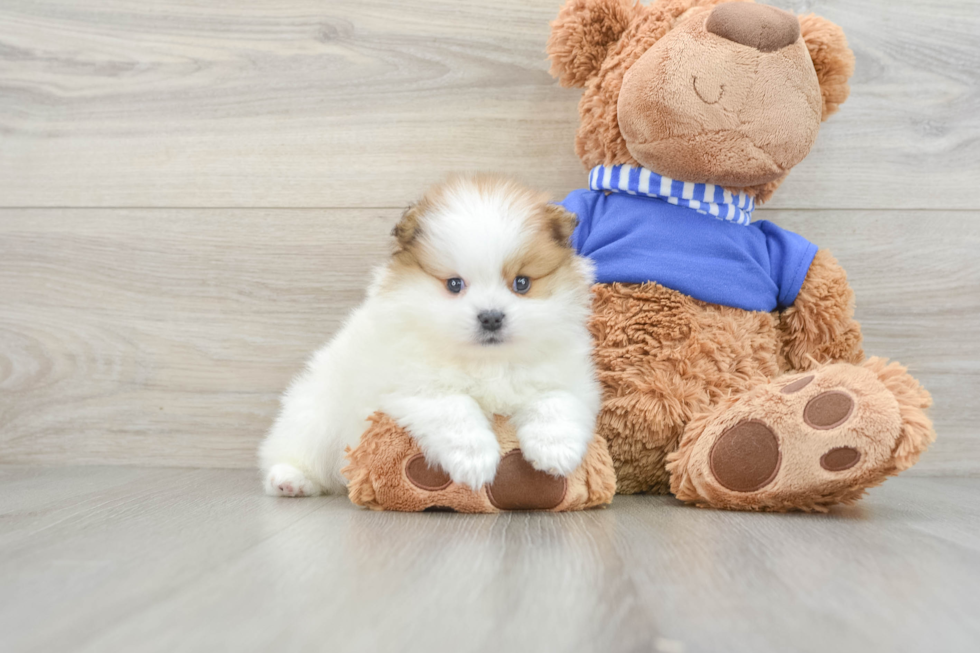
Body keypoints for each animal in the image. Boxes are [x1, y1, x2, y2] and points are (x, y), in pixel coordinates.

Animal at [256, 173, 600, 494]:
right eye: (454, 284)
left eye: (522, 283)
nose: (491, 317)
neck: (486, 362)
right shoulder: (414, 388)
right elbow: (456, 408)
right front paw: (474, 460)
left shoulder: (569, 378)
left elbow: (554, 400)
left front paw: (556, 451)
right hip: (314, 418)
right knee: (295, 453)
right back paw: (289, 479)